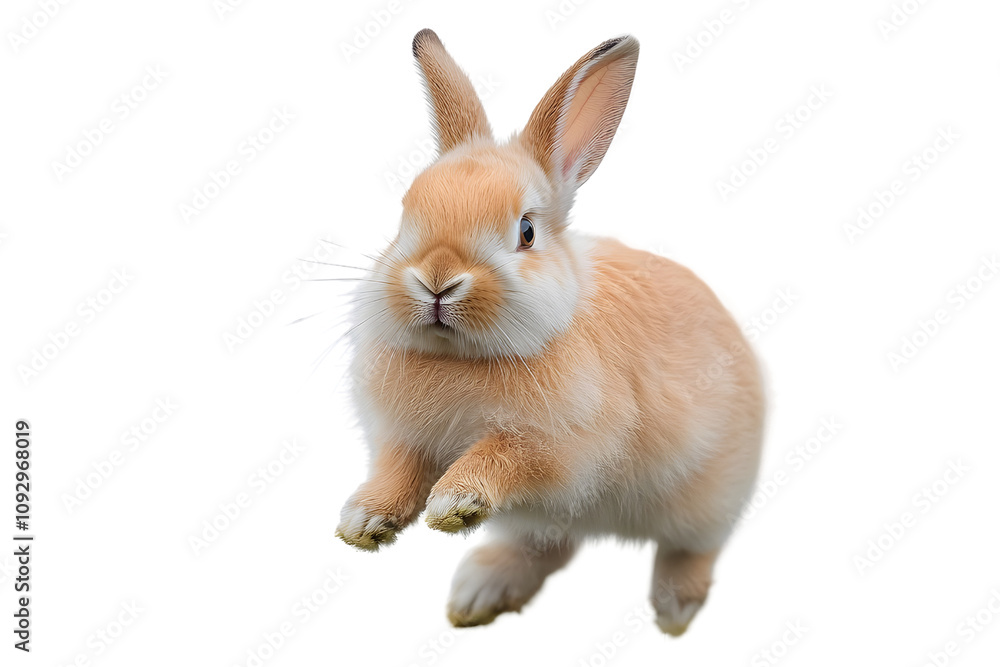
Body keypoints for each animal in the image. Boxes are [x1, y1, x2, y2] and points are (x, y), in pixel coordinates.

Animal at [336, 29, 765, 636]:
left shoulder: (562, 447)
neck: (459, 358)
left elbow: (503, 456)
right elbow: (397, 473)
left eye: (526, 231)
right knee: (550, 546)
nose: (437, 280)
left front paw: (454, 503)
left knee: (691, 547)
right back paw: (479, 592)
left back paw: (673, 607)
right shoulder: (403, 440)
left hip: (706, 499)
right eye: (404, 216)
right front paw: (363, 519)